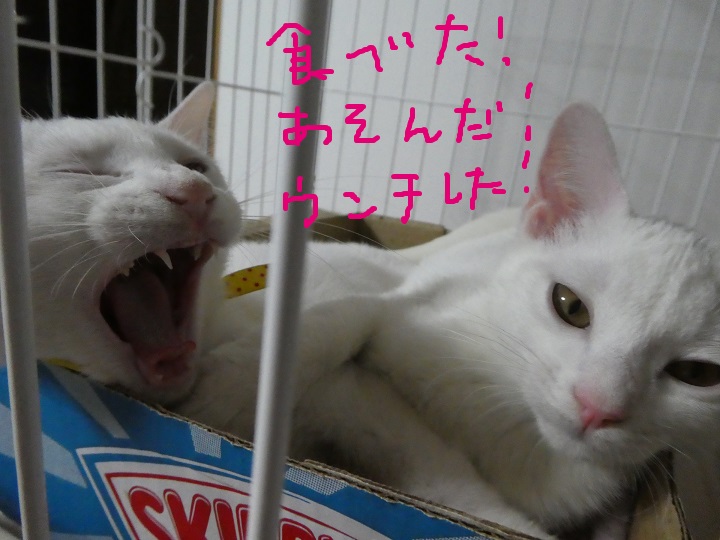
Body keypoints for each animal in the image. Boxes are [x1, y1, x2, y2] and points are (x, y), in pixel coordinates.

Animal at [179, 103, 720, 539]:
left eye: (697, 374)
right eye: (570, 306)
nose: (597, 407)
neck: (516, 423)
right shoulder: (403, 306)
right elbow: (349, 317)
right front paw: (232, 386)